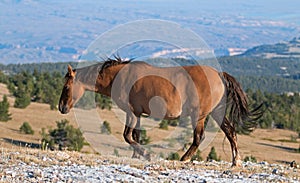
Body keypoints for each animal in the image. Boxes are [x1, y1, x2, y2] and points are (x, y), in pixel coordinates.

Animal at [59, 56, 262, 166]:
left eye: (67, 87)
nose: (62, 107)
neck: (119, 77)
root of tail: (220, 75)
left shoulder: (131, 113)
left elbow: (127, 136)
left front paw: (147, 155)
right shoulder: (138, 114)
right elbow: (135, 136)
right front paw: (137, 156)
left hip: (199, 115)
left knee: (199, 137)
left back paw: (184, 158)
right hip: (217, 113)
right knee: (231, 132)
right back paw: (235, 161)